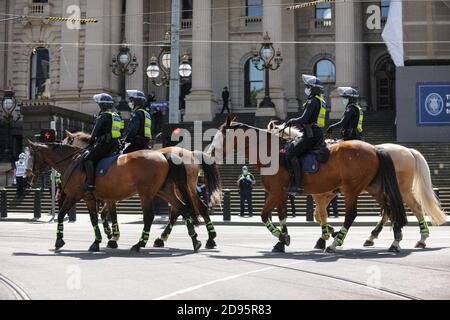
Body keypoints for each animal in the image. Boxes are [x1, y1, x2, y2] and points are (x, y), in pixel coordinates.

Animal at [25, 142, 199, 252]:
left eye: (30, 157)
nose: (27, 177)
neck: (72, 163)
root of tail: (163, 154)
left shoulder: (77, 196)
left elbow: (67, 215)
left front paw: (60, 241)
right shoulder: (100, 198)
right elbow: (102, 217)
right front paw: (105, 239)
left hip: (146, 193)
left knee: (150, 216)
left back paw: (140, 244)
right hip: (164, 191)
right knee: (183, 209)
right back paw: (195, 241)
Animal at [63, 130, 223, 250]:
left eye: (68, 141)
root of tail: (192, 154)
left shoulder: (113, 195)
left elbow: (106, 214)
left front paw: (112, 236)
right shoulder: (112, 196)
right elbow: (106, 214)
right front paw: (111, 236)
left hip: (182, 188)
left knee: (186, 209)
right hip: (180, 189)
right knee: (186, 209)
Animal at [209, 116, 410, 254]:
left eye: (222, 135)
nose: (209, 152)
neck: (275, 153)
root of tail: (374, 148)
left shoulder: (276, 193)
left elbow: (264, 216)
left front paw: (282, 237)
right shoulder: (282, 194)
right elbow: (283, 216)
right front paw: (282, 240)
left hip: (351, 189)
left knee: (352, 214)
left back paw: (335, 243)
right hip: (374, 188)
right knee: (389, 209)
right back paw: (394, 241)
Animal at [268, 121, 446, 249]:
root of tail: (408, 151)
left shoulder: (323, 194)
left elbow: (321, 215)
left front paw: (328, 236)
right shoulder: (327, 194)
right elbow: (319, 215)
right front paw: (330, 233)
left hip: (401, 190)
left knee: (415, 208)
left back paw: (420, 238)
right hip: (382, 190)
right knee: (388, 212)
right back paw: (374, 237)